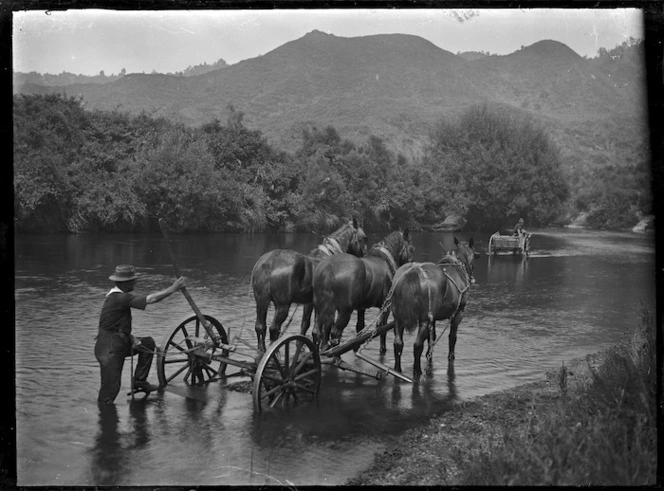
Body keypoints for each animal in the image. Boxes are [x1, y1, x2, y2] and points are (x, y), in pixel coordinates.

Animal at [250, 217, 368, 352]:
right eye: (364, 237)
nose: (364, 253)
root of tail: (267, 264)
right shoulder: (322, 303)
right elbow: (320, 329)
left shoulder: (309, 302)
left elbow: (305, 325)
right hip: (282, 305)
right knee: (274, 328)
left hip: (261, 301)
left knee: (260, 326)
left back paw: (262, 349)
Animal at [390, 237, 478, 376]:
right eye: (474, 256)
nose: (472, 278)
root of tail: (413, 273)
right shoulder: (459, 313)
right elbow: (452, 337)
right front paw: (451, 356)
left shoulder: (434, 318)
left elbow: (432, 338)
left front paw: (429, 354)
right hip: (424, 319)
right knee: (417, 345)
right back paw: (417, 370)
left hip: (398, 317)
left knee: (398, 343)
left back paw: (397, 369)